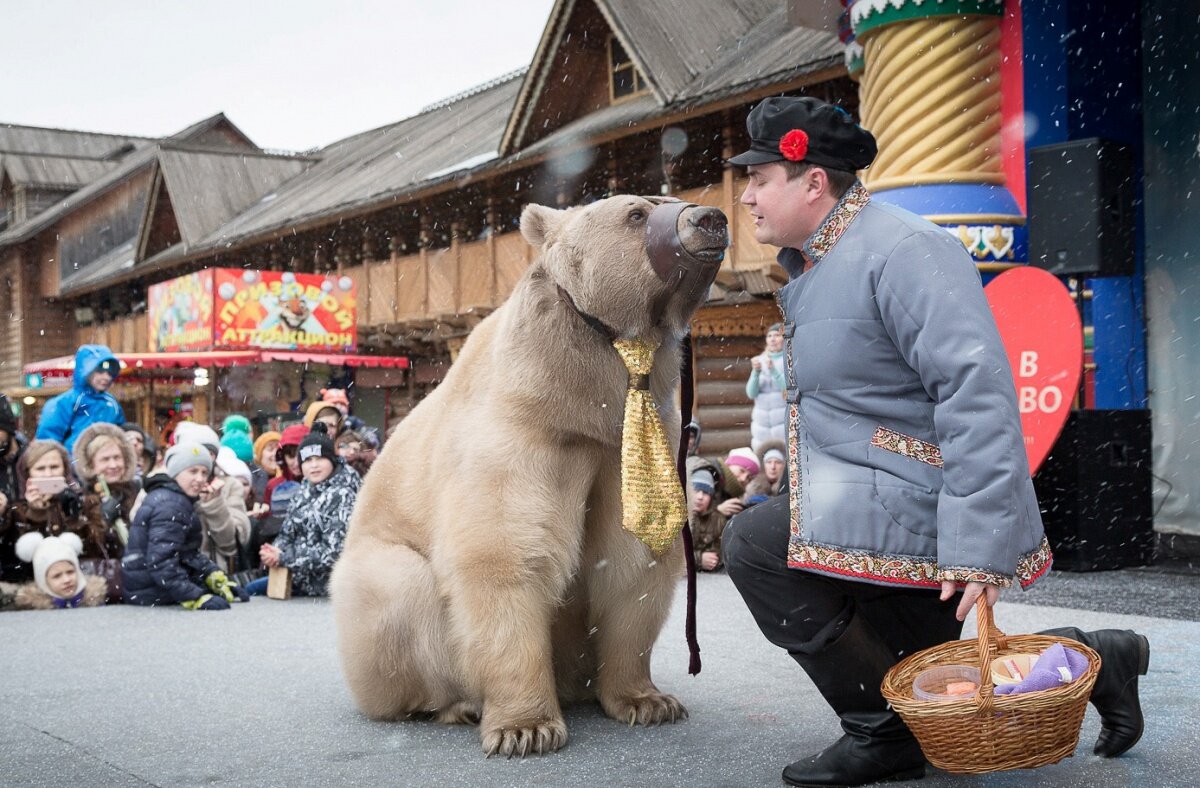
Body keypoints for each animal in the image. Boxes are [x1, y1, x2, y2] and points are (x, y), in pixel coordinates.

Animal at [328, 191, 724, 758]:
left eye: (675, 198)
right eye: (636, 213)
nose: (711, 219)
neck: (586, 401)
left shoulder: (633, 445)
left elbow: (633, 560)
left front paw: (649, 701)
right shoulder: (525, 431)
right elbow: (503, 554)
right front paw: (526, 728)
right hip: (374, 587)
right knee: (399, 591)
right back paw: (456, 704)